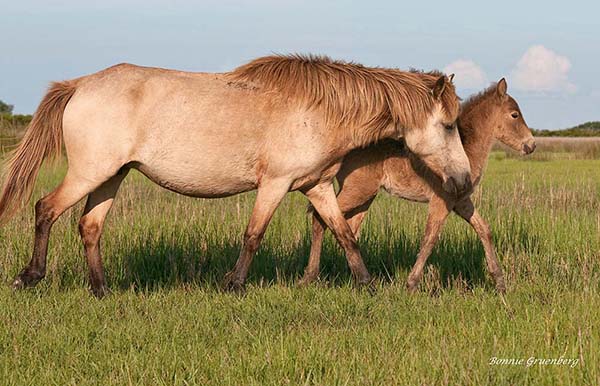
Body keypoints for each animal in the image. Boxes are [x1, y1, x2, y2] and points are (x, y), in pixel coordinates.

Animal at [0, 54, 472, 296]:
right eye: (449, 125)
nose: (464, 181)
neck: (319, 108)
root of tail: (80, 84)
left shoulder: (316, 186)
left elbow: (344, 234)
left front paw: (368, 284)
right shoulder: (275, 184)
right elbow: (253, 235)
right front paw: (234, 284)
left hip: (112, 176)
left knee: (90, 225)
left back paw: (101, 290)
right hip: (90, 172)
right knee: (46, 209)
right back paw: (30, 276)